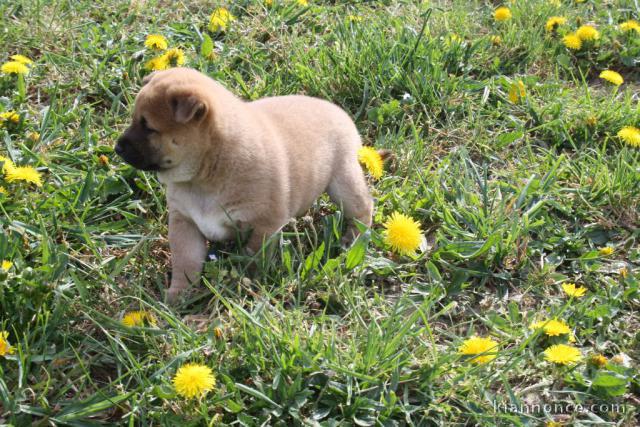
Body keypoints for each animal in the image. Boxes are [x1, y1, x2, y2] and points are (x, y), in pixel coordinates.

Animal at [117, 67, 372, 304]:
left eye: (149, 128)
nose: (117, 148)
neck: (204, 173)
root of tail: (337, 110)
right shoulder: (185, 222)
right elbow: (186, 262)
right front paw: (179, 294)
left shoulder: (263, 225)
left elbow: (253, 258)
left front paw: (246, 283)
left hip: (343, 180)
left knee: (363, 207)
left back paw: (354, 237)